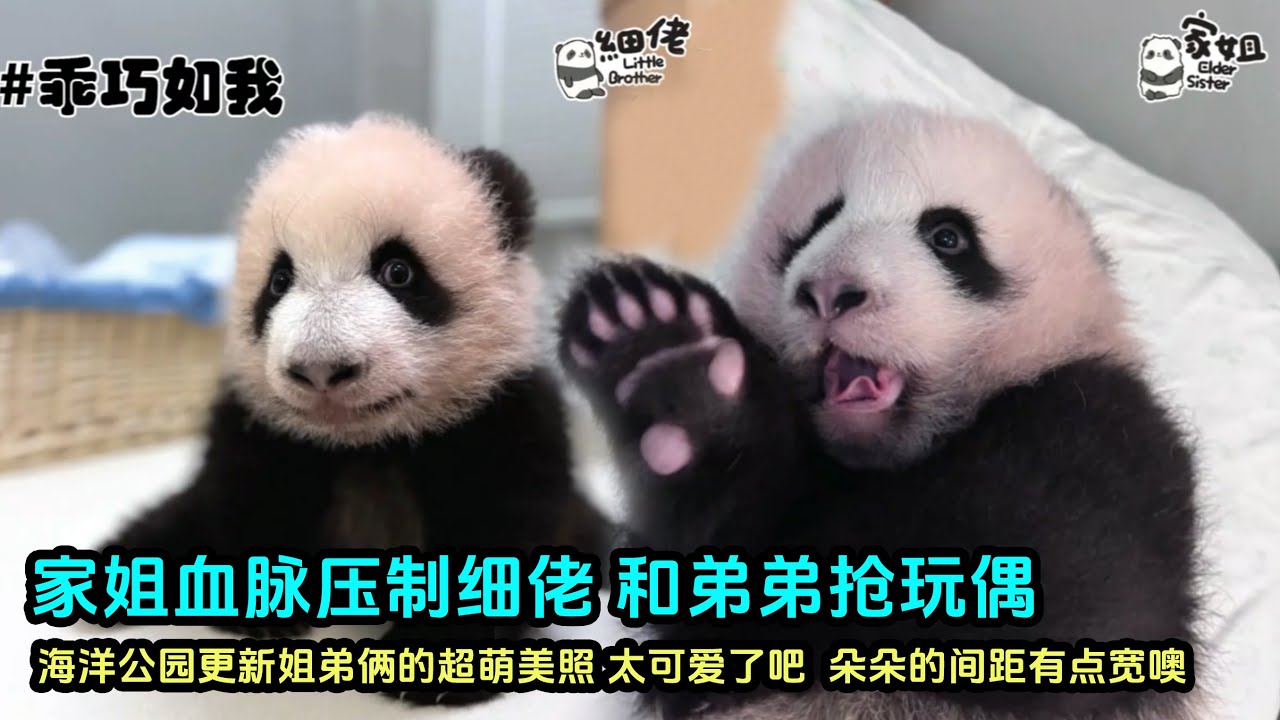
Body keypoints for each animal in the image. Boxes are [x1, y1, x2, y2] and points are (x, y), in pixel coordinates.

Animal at [104, 114, 607, 706]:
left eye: (398, 271)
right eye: (278, 281)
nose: (320, 369)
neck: (369, 443)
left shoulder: (499, 411)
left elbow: (497, 520)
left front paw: (437, 659)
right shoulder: (264, 426)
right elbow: (251, 492)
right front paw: (266, 614)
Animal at [557, 106, 1200, 720]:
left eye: (948, 236)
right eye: (818, 222)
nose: (829, 291)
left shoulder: (1109, 440)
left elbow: (1066, 584)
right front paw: (666, 358)